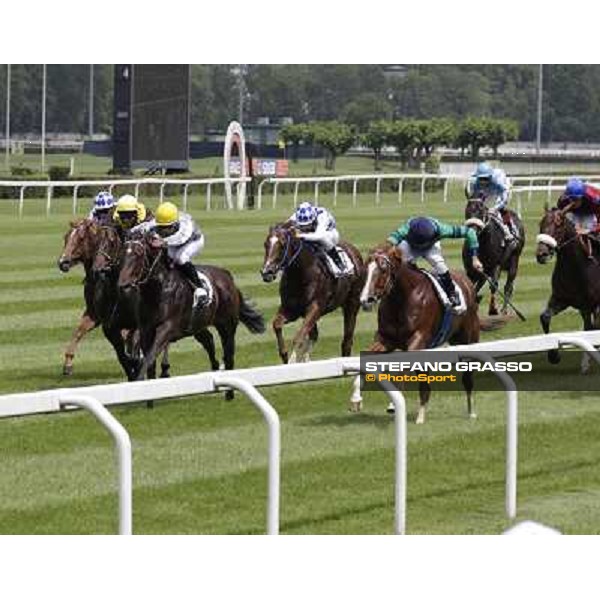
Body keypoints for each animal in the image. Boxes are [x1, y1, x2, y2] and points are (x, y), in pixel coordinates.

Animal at [119, 230, 264, 394]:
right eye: (123, 253)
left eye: (138, 253)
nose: (123, 286)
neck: (158, 289)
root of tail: (228, 277)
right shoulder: (145, 329)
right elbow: (148, 360)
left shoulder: (167, 328)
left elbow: (150, 356)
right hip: (197, 326)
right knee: (209, 340)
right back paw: (215, 369)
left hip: (227, 325)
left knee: (229, 355)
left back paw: (228, 391)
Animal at [258, 223, 364, 364]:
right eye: (265, 244)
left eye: (282, 244)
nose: (267, 272)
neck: (300, 274)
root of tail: (355, 252)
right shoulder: (291, 309)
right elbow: (277, 324)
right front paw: (284, 354)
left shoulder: (315, 308)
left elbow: (299, 336)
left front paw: (292, 361)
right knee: (314, 334)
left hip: (351, 305)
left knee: (347, 340)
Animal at [354, 243, 508, 422]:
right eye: (365, 270)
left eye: (383, 269)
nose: (366, 300)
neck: (402, 300)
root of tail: (469, 285)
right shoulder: (386, 340)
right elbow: (365, 360)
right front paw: (356, 399)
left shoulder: (418, 340)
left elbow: (405, 370)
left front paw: (394, 404)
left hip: (468, 341)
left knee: (467, 379)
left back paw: (470, 412)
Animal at [536, 205, 600, 370]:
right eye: (541, 224)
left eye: (558, 225)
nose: (541, 254)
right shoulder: (562, 299)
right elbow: (545, 317)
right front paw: (553, 355)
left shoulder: (594, 304)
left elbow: (592, 328)